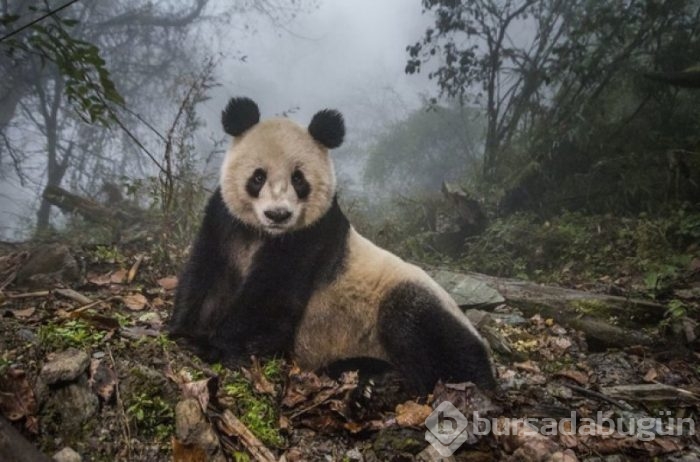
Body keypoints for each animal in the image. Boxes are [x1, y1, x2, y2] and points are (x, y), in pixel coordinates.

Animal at [168, 96, 498, 394]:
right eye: (258, 177)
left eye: (299, 179)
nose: (278, 214)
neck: (264, 234)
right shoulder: (224, 221)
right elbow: (205, 276)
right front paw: (185, 331)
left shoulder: (310, 238)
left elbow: (269, 300)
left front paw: (216, 346)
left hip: (413, 300)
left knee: (424, 334)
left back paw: (397, 384)